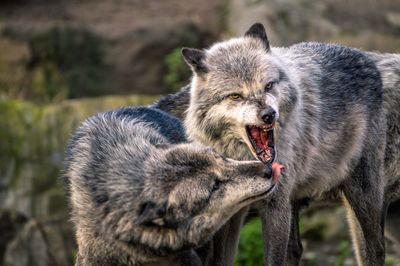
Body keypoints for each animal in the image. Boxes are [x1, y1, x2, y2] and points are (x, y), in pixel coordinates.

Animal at [155, 23, 398, 266]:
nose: (268, 115)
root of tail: (364, 55)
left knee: (376, 248)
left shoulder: (276, 206)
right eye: (235, 96)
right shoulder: (230, 215)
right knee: (298, 249)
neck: (245, 161)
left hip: (362, 194)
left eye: (268, 86)